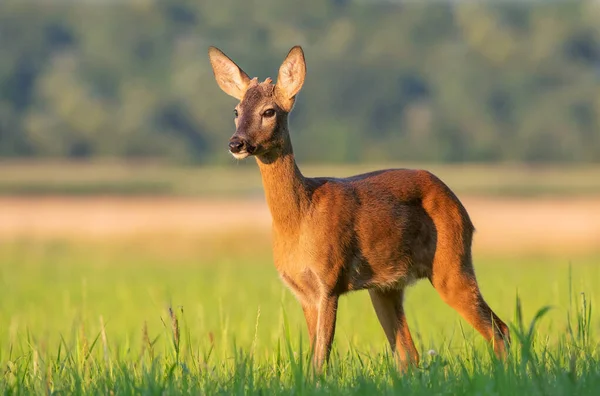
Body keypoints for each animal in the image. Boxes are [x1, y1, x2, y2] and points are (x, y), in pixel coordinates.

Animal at [207, 44, 510, 372]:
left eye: (269, 111)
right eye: (236, 111)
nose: (236, 143)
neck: (300, 217)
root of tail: (462, 208)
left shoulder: (329, 280)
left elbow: (320, 359)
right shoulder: (302, 291)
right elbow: (313, 355)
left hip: (451, 263)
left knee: (499, 329)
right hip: (387, 285)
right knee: (409, 353)